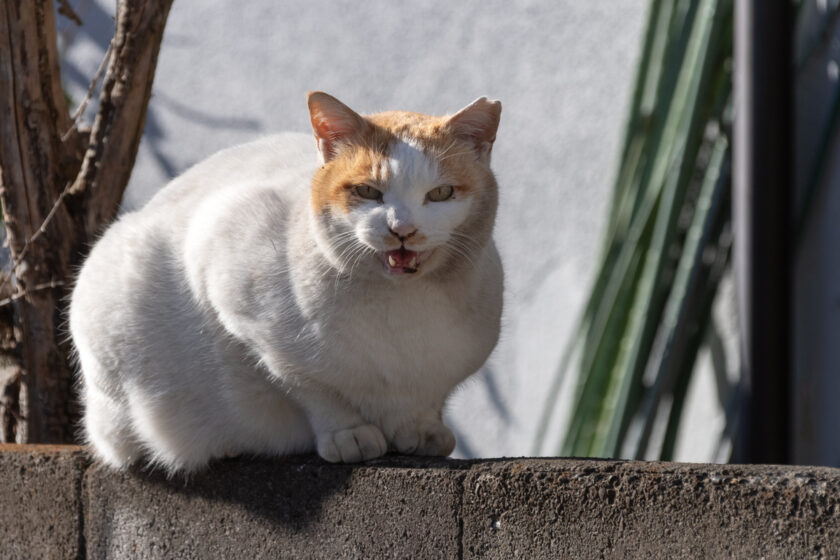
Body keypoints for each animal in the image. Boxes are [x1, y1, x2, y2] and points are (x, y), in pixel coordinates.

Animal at [69, 93, 502, 472]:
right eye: (367, 191)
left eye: (441, 193)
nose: (403, 230)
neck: (402, 310)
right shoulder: (229, 277)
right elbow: (308, 387)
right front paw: (349, 434)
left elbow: (425, 403)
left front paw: (421, 430)